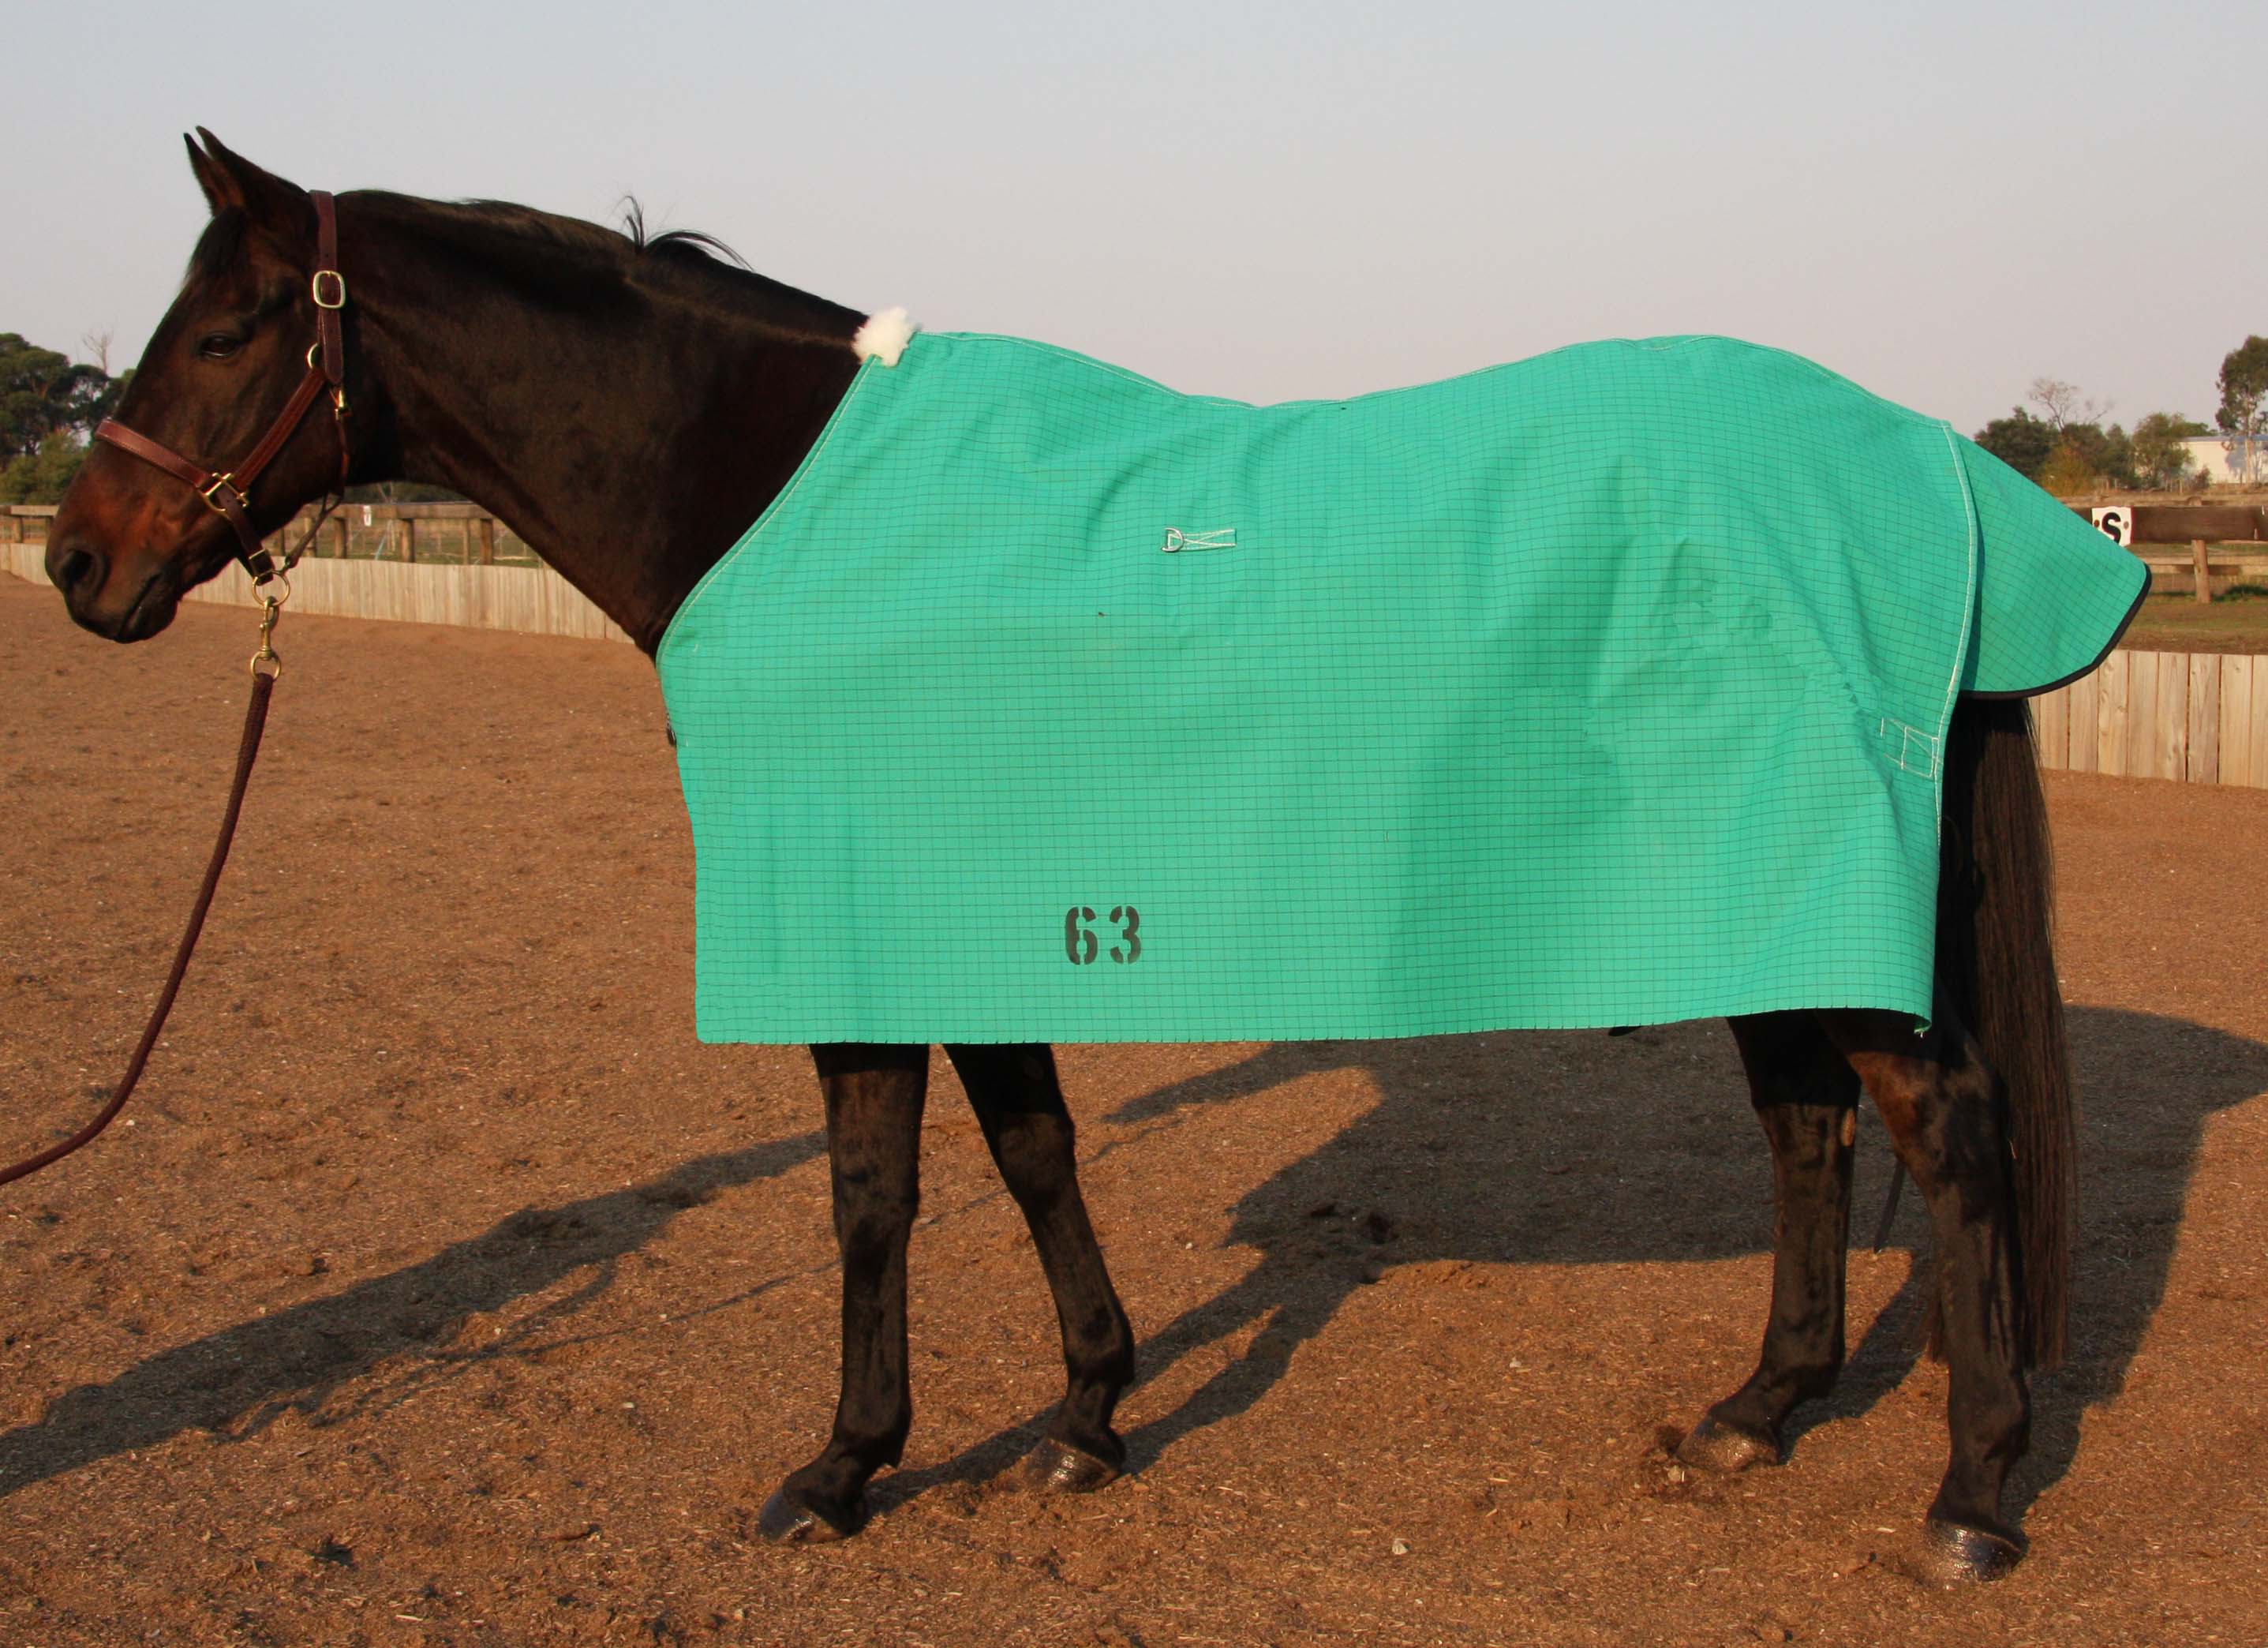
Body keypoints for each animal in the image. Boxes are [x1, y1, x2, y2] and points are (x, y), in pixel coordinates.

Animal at [43, 131, 2087, 1583]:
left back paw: (1973, 1495)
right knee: (1808, 1131)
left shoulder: (859, 913)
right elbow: (1029, 1148)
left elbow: (873, 1191)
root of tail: (1937, 471)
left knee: (1947, 1133)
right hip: (1748, 908)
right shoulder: (969, 899)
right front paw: (1086, 1415)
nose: (77, 561)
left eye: (220, 329)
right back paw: (1756, 1410)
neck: (792, 504)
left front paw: (842, 1467)